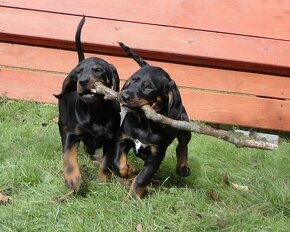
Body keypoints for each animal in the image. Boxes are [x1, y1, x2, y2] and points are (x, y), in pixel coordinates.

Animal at [54, 16, 120, 192]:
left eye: (98, 69)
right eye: (77, 72)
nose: (82, 81)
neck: (95, 112)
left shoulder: (112, 140)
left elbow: (106, 162)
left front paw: (103, 181)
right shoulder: (72, 135)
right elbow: (69, 157)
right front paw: (73, 179)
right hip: (62, 122)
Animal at [114, 42, 193, 198]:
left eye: (148, 87)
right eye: (133, 80)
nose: (124, 96)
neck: (143, 123)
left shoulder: (156, 157)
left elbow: (141, 179)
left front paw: (132, 198)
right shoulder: (123, 139)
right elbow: (119, 165)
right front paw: (129, 171)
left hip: (184, 126)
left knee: (182, 145)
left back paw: (183, 167)